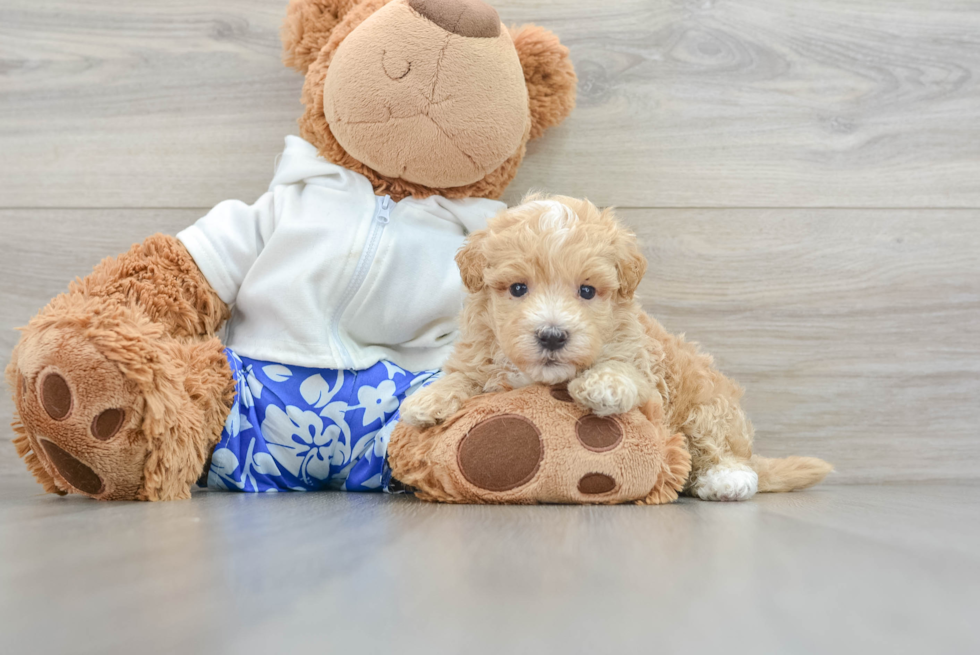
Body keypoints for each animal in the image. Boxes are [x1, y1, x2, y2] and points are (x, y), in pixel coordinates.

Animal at [402, 195, 832, 502]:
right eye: (518, 288)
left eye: (587, 291)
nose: (552, 335)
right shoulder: (479, 353)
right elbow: (463, 376)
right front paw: (426, 400)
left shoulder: (644, 363)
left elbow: (623, 369)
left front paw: (603, 385)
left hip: (707, 403)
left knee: (721, 445)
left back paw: (726, 479)